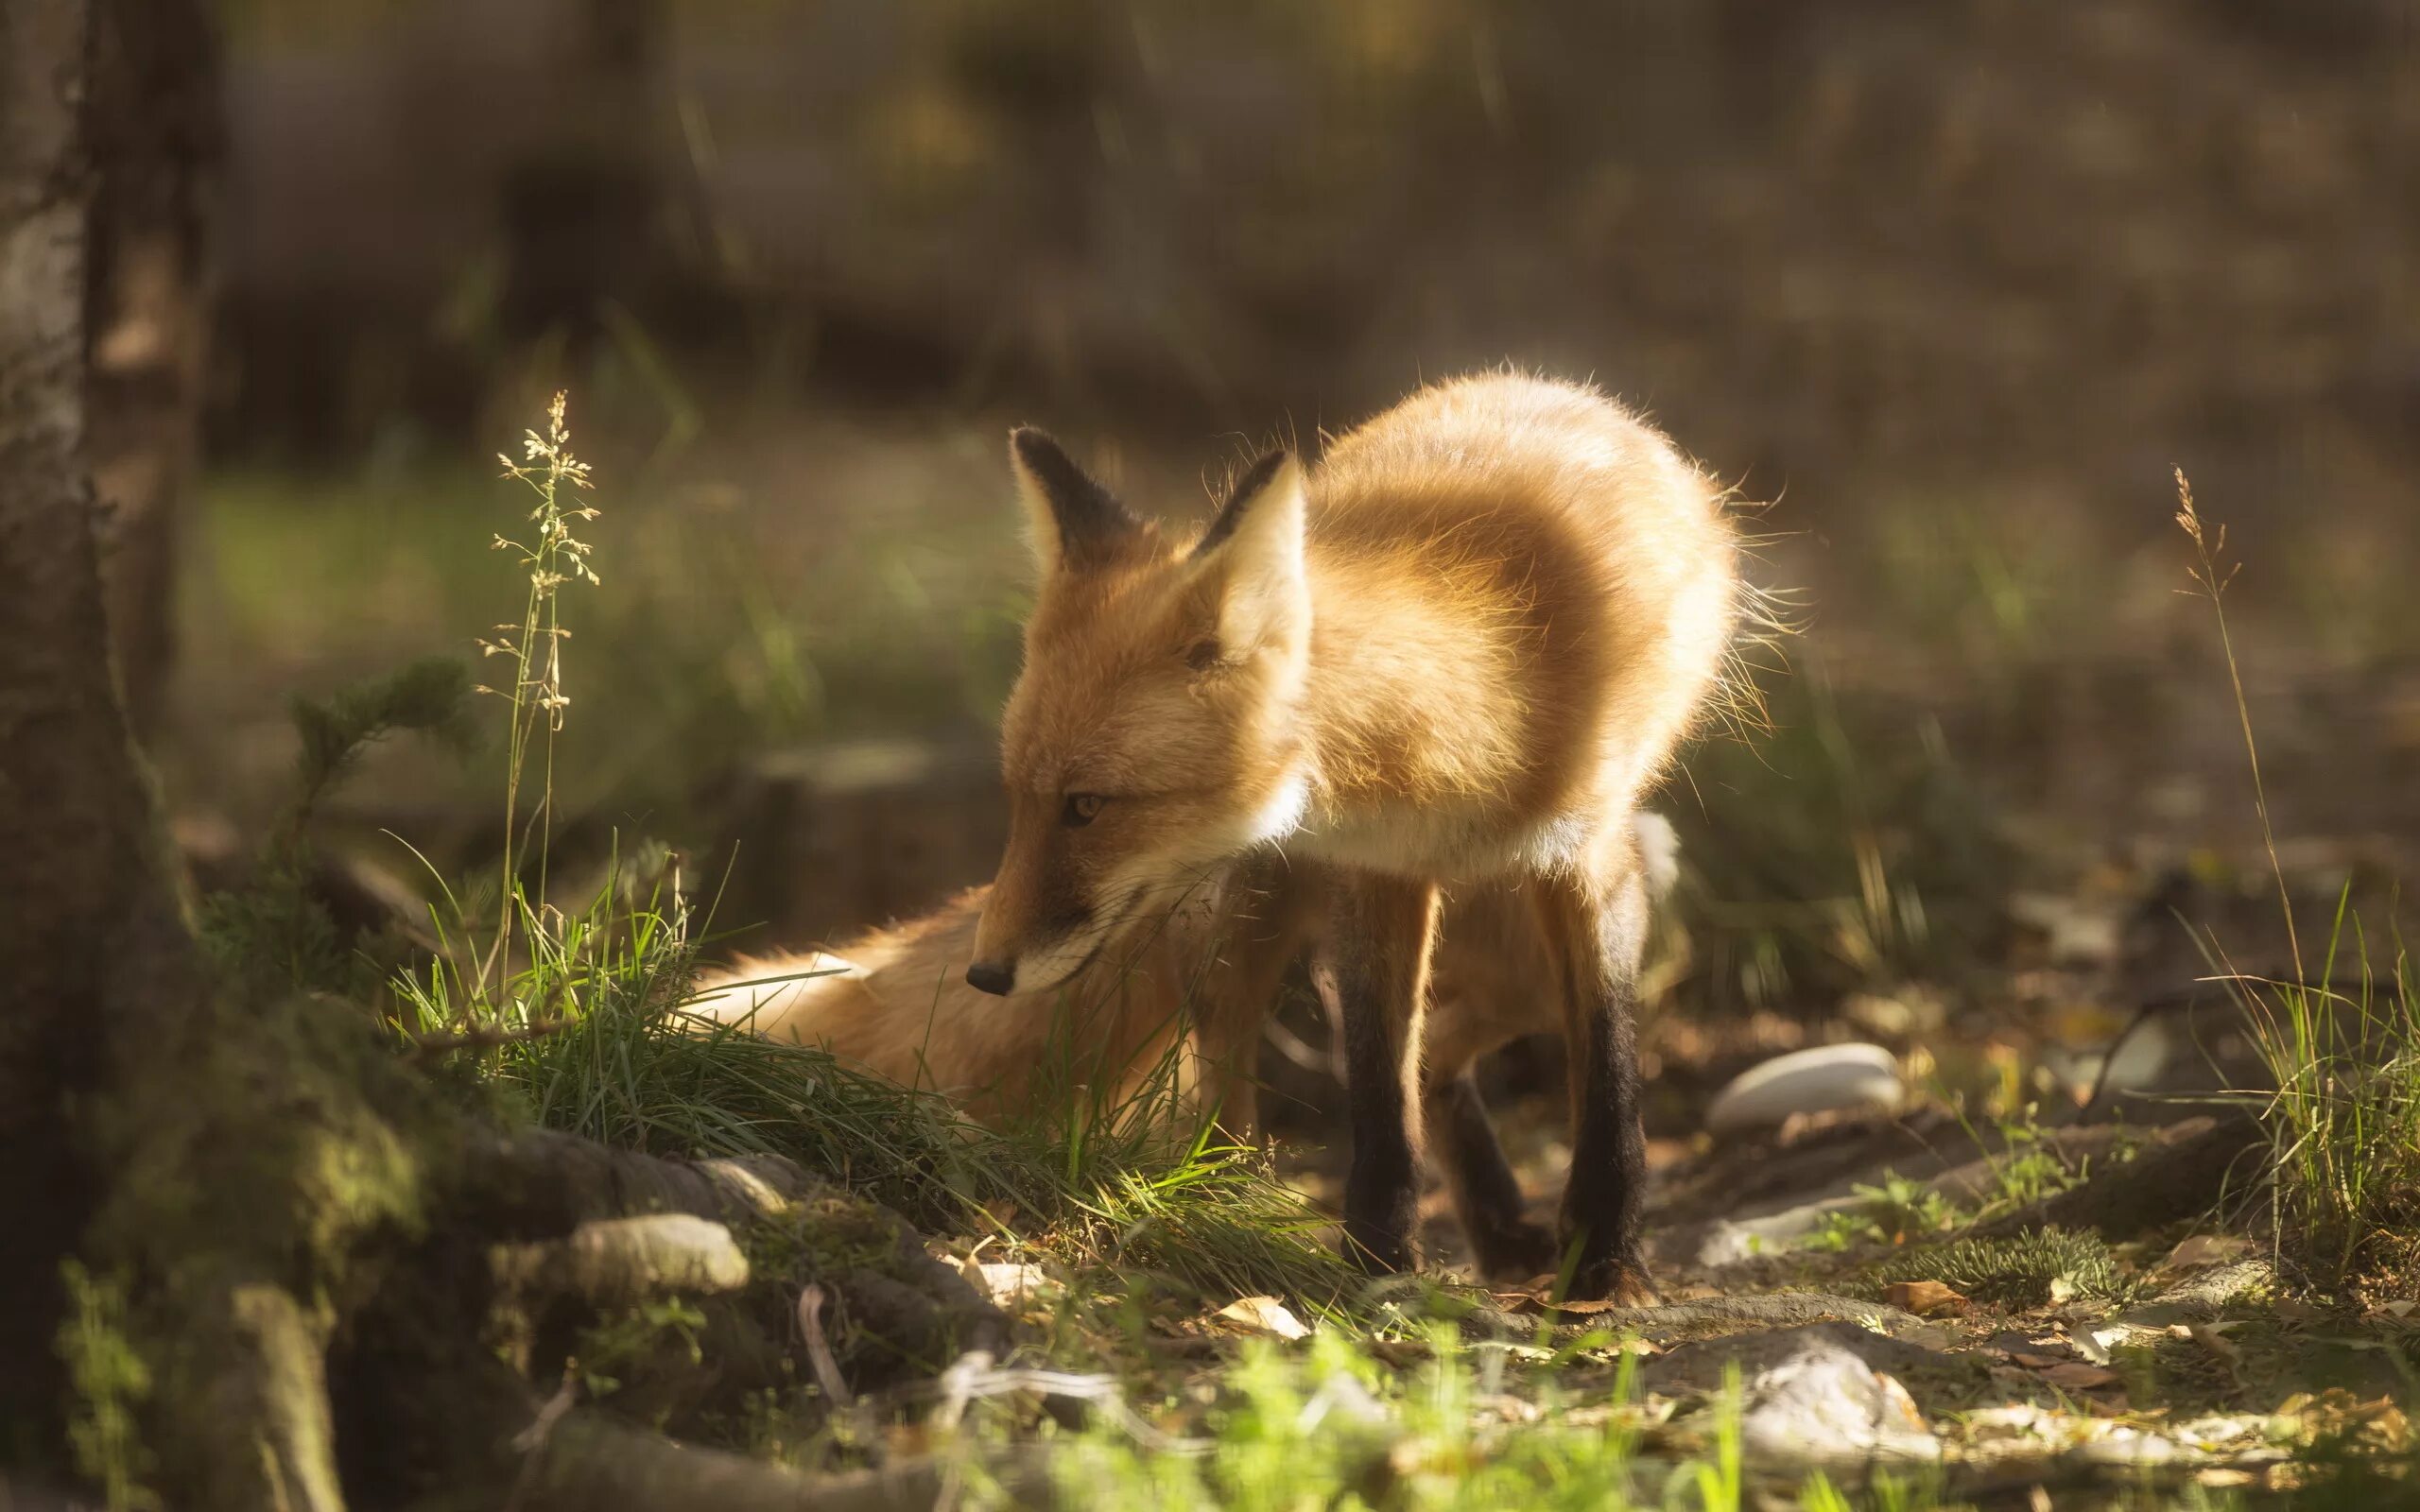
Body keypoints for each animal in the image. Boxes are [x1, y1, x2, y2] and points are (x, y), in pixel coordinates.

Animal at [962, 368, 1742, 1297]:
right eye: (1018, 799)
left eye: (1085, 806)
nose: (984, 974)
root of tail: (1549, 382)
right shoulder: (1377, 875)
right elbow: (1375, 1088)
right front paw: (1377, 1258)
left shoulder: (1592, 858)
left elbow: (1608, 1066)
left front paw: (1605, 1260)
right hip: (1252, 908)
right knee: (1245, 1061)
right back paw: (1227, 1204)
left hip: (1548, 927)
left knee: (1447, 1050)